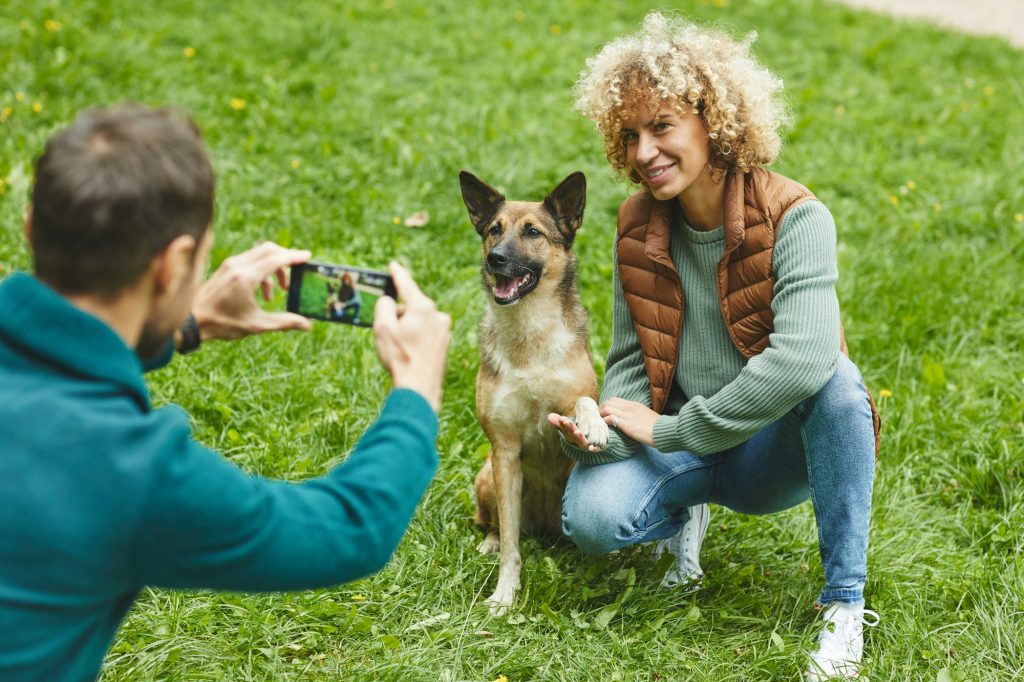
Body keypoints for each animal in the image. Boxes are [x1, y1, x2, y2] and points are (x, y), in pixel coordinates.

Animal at [458, 168, 606, 610]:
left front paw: (594, 423)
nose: (495, 259)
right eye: (494, 229)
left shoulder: (573, 397)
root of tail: (543, 526)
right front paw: (504, 595)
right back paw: (489, 542)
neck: (530, 339)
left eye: (533, 232)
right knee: (496, 525)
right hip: (488, 477)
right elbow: (511, 544)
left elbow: (586, 400)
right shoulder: (504, 451)